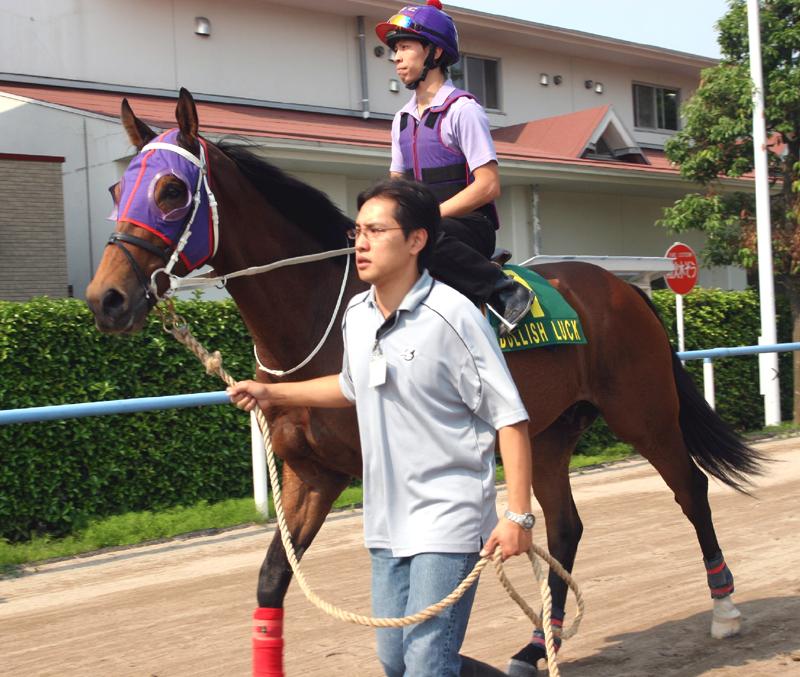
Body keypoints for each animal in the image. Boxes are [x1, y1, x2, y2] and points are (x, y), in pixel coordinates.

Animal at [86, 89, 760, 674]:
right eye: (118, 187)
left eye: (172, 190)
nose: (105, 299)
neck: (324, 315)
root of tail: (622, 287)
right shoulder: (309, 472)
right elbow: (273, 580)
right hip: (545, 434)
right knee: (564, 527)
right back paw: (537, 644)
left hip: (643, 412)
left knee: (692, 490)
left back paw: (725, 607)